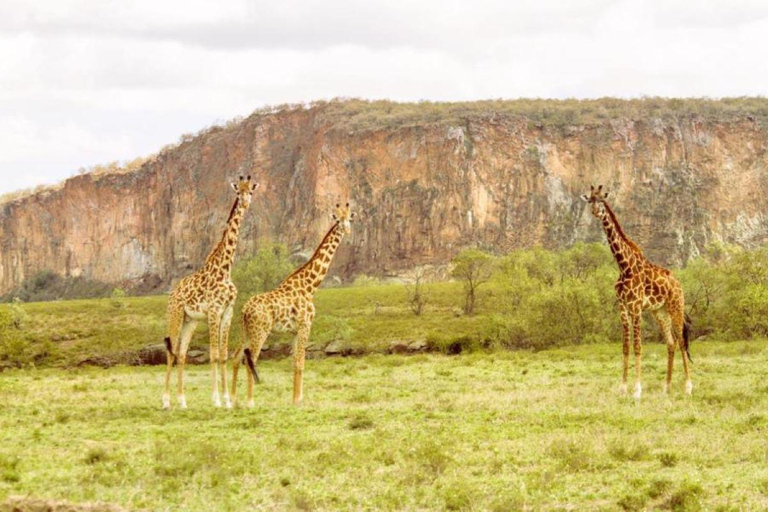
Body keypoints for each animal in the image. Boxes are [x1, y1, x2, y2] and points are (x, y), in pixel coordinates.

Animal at [162, 174, 258, 410]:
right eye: (238, 192)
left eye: (251, 191)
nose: (245, 203)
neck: (225, 268)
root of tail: (172, 293)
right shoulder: (214, 311)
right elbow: (213, 354)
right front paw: (216, 399)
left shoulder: (227, 312)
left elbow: (222, 355)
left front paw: (227, 400)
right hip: (175, 315)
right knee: (171, 353)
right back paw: (166, 401)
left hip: (190, 321)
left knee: (182, 354)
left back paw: (182, 401)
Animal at [231, 202, 356, 406]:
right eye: (338, 220)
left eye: (350, 219)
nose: (347, 230)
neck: (310, 285)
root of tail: (244, 311)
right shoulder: (306, 325)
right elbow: (301, 363)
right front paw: (298, 400)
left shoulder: (295, 331)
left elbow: (294, 363)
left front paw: (295, 398)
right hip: (260, 331)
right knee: (251, 360)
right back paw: (250, 401)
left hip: (246, 331)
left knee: (236, 357)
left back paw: (233, 399)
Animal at [580, 185, 692, 400]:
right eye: (590, 200)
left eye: (602, 200)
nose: (595, 212)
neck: (625, 267)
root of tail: (679, 284)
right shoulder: (623, 307)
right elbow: (625, 346)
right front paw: (623, 388)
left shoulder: (637, 307)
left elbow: (638, 346)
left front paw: (637, 390)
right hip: (660, 312)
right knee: (671, 343)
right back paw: (666, 388)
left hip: (676, 307)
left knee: (682, 341)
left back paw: (688, 387)